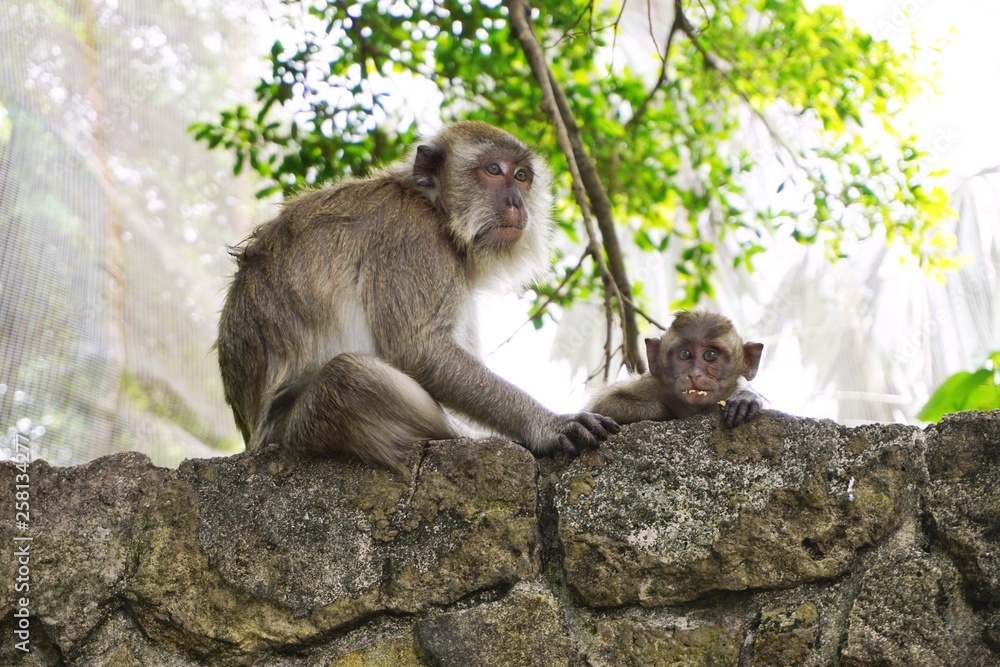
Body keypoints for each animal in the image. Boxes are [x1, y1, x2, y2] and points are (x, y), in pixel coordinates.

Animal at [217, 121, 619, 472]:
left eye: (522, 176)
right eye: (494, 169)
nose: (517, 203)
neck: (433, 206)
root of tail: (253, 438)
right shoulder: (412, 237)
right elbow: (419, 349)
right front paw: (546, 425)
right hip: (297, 431)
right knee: (348, 377)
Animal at [586, 311, 764, 428]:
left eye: (710, 355)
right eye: (684, 354)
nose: (694, 374)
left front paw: (745, 399)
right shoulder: (652, 384)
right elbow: (604, 402)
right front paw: (665, 412)